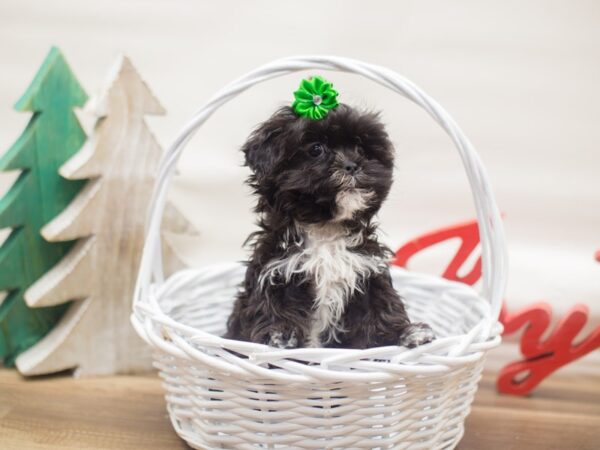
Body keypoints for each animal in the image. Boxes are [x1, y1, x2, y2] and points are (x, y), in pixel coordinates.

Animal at [225, 103, 436, 350]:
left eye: (361, 149)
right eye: (316, 149)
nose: (352, 165)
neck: (325, 230)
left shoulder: (368, 272)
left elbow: (383, 307)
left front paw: (407, 332)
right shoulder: (275, 271)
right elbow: (271, 307)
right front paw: (279, 335)